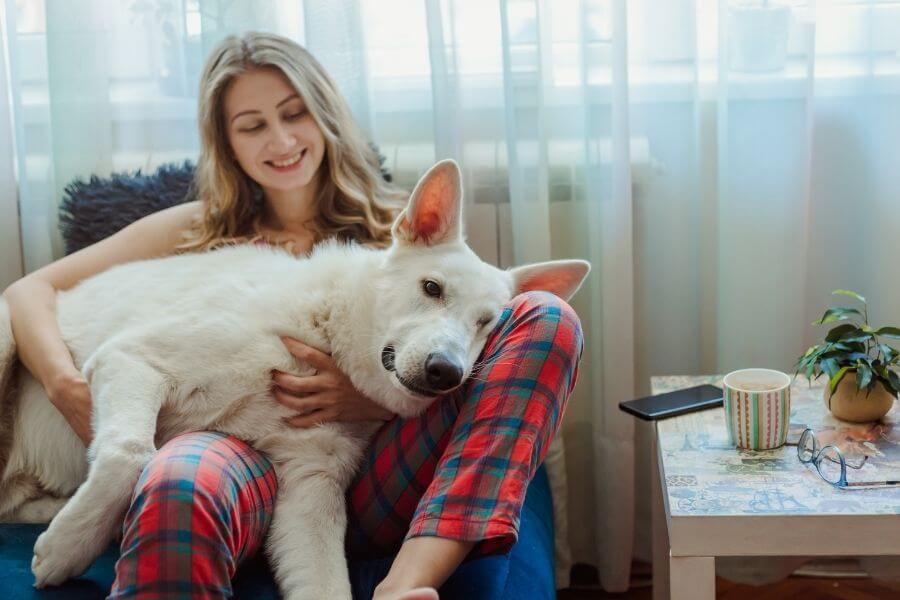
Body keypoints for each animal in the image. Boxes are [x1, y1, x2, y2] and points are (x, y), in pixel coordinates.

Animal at [0, 161, 592, 600]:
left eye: (486, 323)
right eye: (432, 288)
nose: (446, 373)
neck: (321, 336)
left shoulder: (309, 489)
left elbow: (325, 584)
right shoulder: (130, 358)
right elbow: (129, 452)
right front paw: (68, 548)